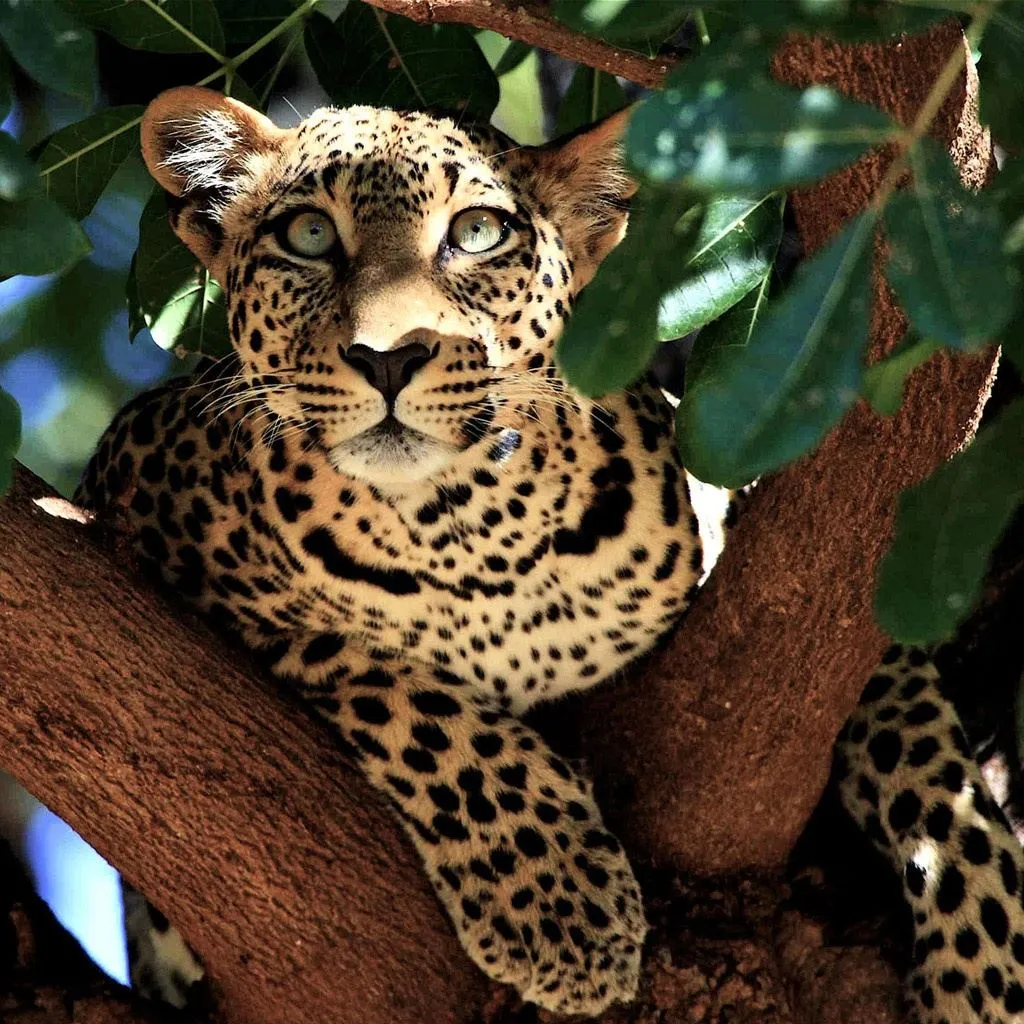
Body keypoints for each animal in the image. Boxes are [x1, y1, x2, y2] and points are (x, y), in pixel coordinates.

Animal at [75, 85, 1024, 1022]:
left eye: (477, 232)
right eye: (308, 235)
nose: (388, 358)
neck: (470, 535)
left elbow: (921, 748)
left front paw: (985, 963)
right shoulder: (130, 493)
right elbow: (409, 700)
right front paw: (563, 904)